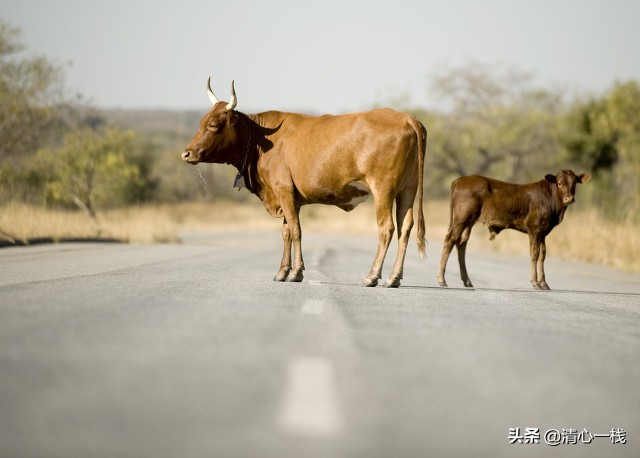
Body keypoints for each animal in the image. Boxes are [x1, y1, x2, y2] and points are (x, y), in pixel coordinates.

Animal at [182, 78, 428, 286]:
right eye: (201, 122)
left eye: (214, 125)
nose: (187, 153)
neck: (263, 141)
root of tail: (406, 117)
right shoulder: (291, 198)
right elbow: (286, 232)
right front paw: (282, 271)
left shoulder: (283, 190)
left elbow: (296, 230)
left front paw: (296, 272)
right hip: (408, 189)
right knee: (405, 227)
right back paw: (394, 277)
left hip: (383, 189)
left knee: (386, 228)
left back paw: (372, 276)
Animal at [438, 170, 592, 288]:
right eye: (559, 183)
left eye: (574, 184)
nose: (569, 198)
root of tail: (459, 180)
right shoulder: (534, 228)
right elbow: (535, 253)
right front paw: (535, 282)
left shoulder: (543, 232)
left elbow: (543, 254)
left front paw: (544, 283)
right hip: (461, 219)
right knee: (450, 240)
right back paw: (442, 279)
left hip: (468, 222)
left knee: (461, 244)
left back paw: (467, 281)